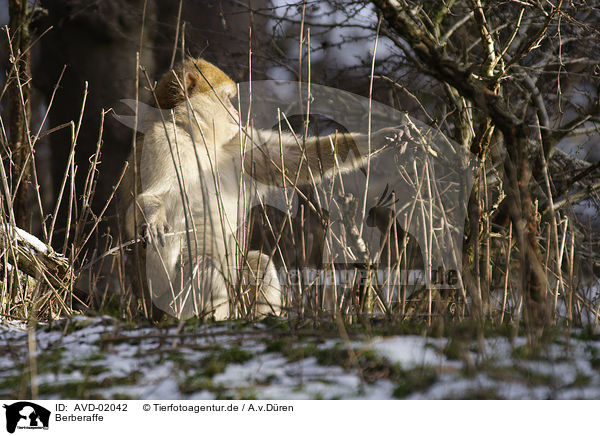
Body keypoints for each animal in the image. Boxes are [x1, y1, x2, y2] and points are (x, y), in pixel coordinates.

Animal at [119, 56, 406, 320]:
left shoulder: (237, 143)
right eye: (227, 99)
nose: (236, 114)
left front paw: (376, 139)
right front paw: (152, 219)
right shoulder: (163, 141)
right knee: (204, 266)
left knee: (258, 264)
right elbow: (150, 199)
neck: (201, 140)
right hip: (168, 297)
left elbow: (292, 159)